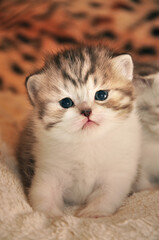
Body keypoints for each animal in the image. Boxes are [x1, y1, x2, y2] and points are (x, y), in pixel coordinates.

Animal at [17, 46, 141, 218]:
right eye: (66, 102)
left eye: (101, 95)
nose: (86, 112)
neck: (88, 142)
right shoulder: (48, 170)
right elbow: (43, 194)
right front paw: (51, 214)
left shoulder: (117, 174)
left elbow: (106, 196)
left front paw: (92, 213)